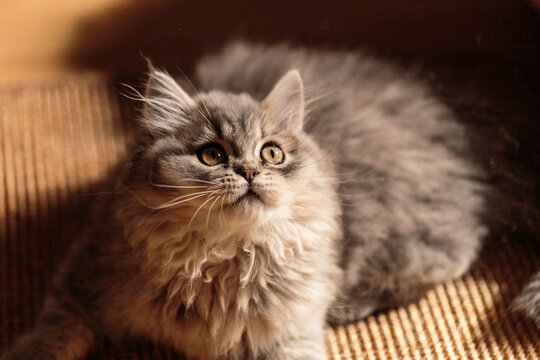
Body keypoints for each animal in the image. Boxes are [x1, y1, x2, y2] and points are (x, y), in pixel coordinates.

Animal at [2, 40, 536, 358]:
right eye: (213, 155)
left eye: (272, 153)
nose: (250, 171)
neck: (219, 265)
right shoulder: (85, 276)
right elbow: (53, 333)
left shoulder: (292, 329)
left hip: (399, 232)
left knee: (450, 261)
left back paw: (349, 305)